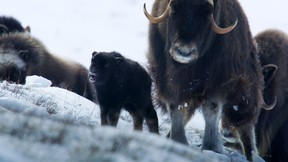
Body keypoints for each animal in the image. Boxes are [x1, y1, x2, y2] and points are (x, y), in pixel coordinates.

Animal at [145, 0, 276, 159]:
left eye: (207, 14)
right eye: (174, 9)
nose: (184, 51)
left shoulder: (217, 82)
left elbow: (211, 109)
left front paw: (212, 147)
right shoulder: (167, 80)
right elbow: (176, 108)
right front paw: (178, 140)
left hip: (243, 95)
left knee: (245, 127)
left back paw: (252, 155)